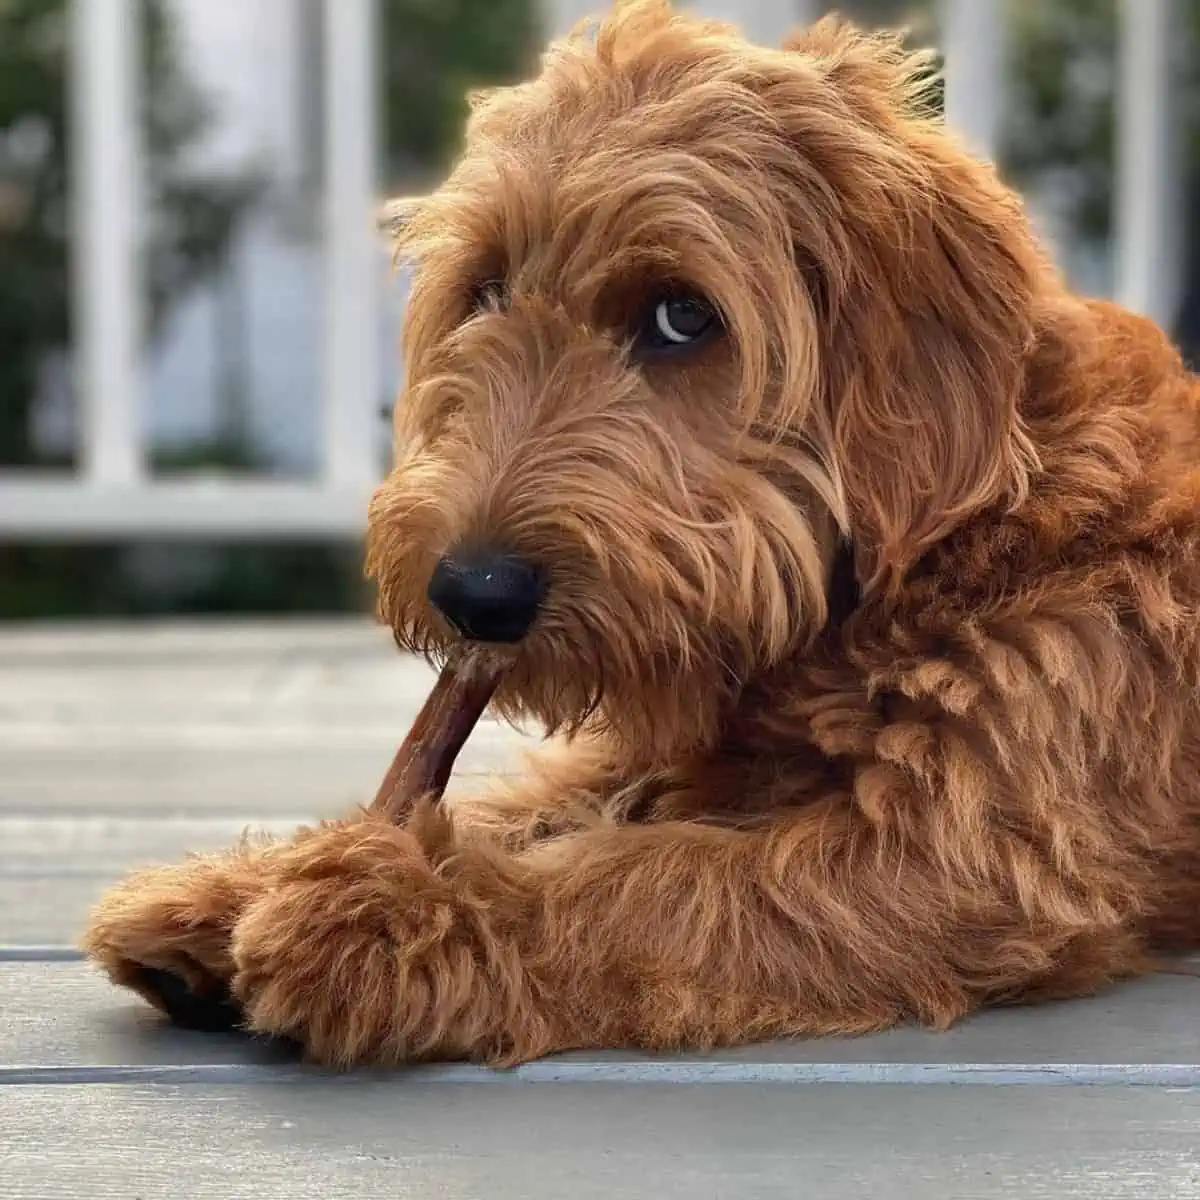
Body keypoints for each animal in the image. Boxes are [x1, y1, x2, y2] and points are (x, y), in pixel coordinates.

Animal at [79, 0, 1200, 1070]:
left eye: (681, 316)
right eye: (485, 289)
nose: (473, 591)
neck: (962, 536)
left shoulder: (970, 846)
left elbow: (660, 882)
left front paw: (382, 915)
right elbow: (526, 803)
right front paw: (244, 884)